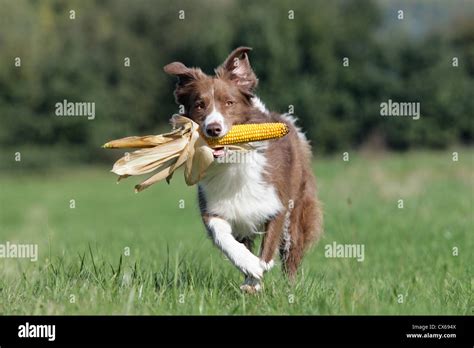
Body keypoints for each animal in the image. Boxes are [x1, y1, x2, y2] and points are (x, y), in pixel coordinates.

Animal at [165, 46, 324, 290]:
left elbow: (267, 252)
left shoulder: (276, 205)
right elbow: (224, 238)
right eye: (200, 105)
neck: (233, 162)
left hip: (298, 205)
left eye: (229, 103)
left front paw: (255, 278)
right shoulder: (215, 208)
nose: (213, 129)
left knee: (291, 251)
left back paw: (290, 286)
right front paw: (248, 265)